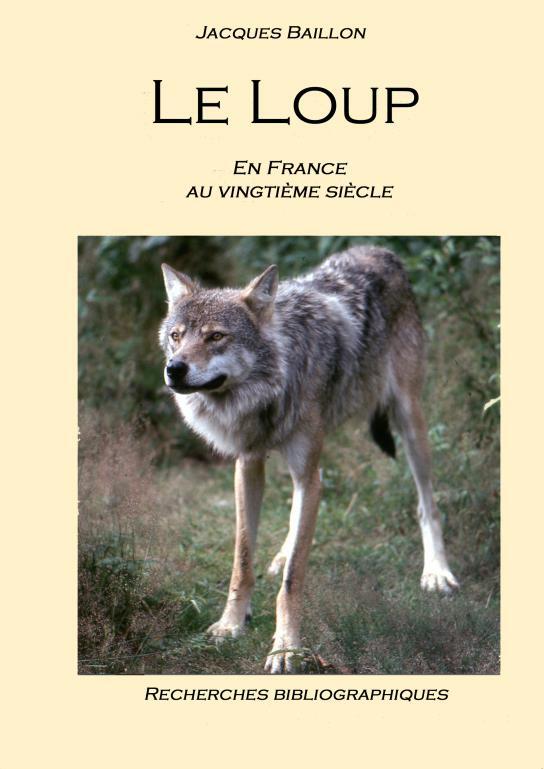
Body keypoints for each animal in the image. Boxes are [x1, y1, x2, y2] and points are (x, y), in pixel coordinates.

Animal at [159, 246, 459, 673]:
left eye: (216, 336)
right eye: (176, 336)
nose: (175, 368)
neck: (270, 387)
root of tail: (379, 250)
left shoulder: (302, 468)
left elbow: (292, 580)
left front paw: (286, 647)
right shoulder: (248, 464)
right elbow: (242, 559)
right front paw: (231, 623)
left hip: (409, 420)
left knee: (426, 503)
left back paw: (436, 572)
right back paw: (282, 553)